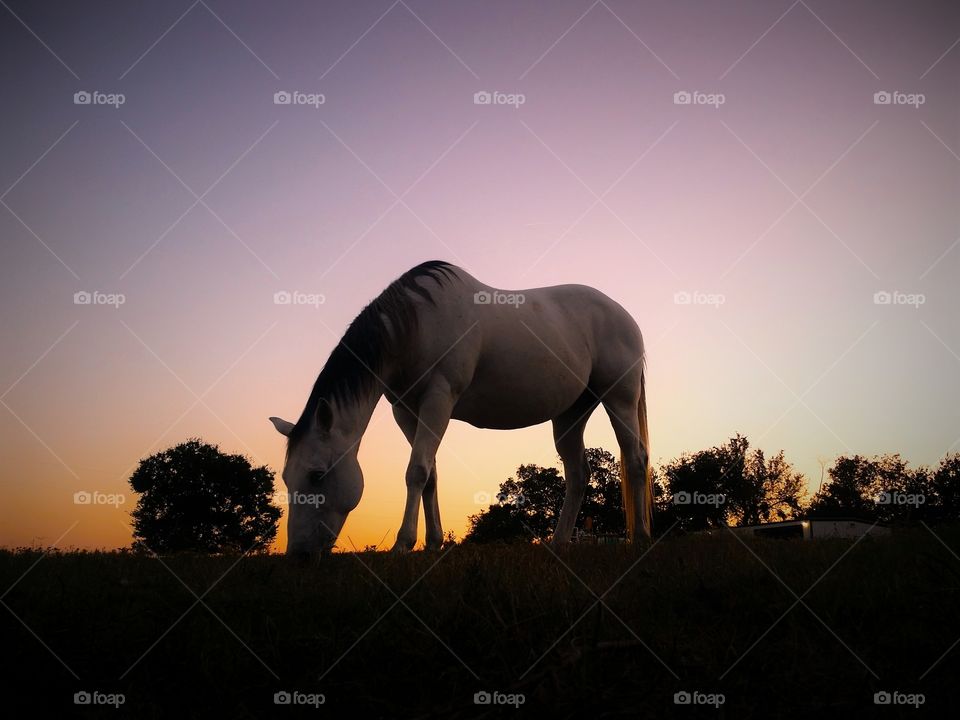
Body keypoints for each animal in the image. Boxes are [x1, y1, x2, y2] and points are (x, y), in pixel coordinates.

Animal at [268, 262, 652, 556]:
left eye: (317, 474)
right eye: (286, 477)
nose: (298, 554)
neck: (416, 324)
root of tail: (623, 315)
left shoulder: (439, 398)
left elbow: (416, 471)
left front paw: (403, 544)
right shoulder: (405, 411)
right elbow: (430, 475)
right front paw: (433, 544)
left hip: (619, 398)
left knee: (635, 459)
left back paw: (641, 539)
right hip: (571, 414)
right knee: (577, 474)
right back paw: (558, 544)